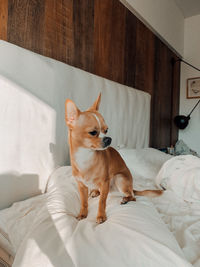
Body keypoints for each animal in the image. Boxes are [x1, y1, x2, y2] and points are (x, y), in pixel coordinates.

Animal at [65, 93, 162, 224]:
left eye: (106, 130)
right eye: (93, 132)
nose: (108, 139)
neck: (85, 156)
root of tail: (132, 187)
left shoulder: (105, 182)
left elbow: (102, 202)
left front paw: (101, 216)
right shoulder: (81, 186)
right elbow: (84, 202)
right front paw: (82, 213)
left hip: (119, 178)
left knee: (133, 197)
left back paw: (125, 199)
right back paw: (95, 191)